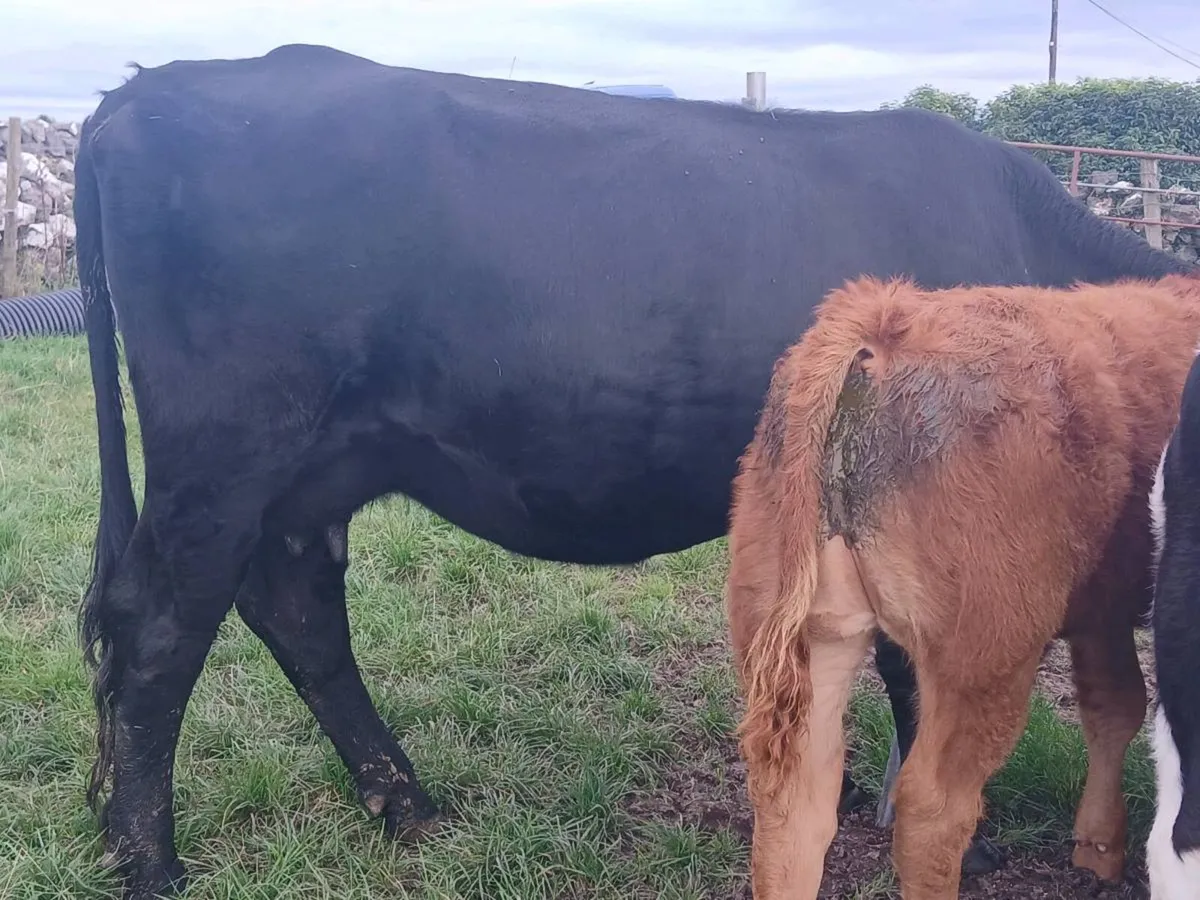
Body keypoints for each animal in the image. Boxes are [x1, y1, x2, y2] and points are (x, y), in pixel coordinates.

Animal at [727, 273, 1200, 899]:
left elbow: (1114, 704)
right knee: (934, 810)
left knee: (799, 799)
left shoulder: (1100, 609)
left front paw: (1098, 849)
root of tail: (883, 322)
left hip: (805, 630)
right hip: (984, 655)